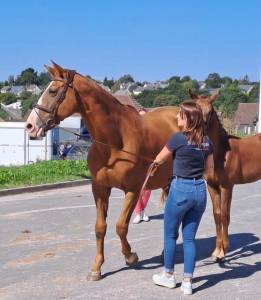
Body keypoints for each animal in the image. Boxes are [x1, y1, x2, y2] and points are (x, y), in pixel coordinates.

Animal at [25, 62, 180, 280]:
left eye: (53, 91)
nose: (30, 126)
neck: (114, 141)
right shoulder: (99, 188)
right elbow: (100, 227)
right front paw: (96, 267)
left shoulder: (133, 190)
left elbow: (120, 226)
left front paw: (130, 256)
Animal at [191, 91, 260, 260]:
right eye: (195, 110)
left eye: (210, 111)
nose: (200, 132)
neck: (220, 154)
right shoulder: (212, 186)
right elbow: (216, 216)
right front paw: (217, 250)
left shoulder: (227, 187)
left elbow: (225, 216)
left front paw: (224, 251)